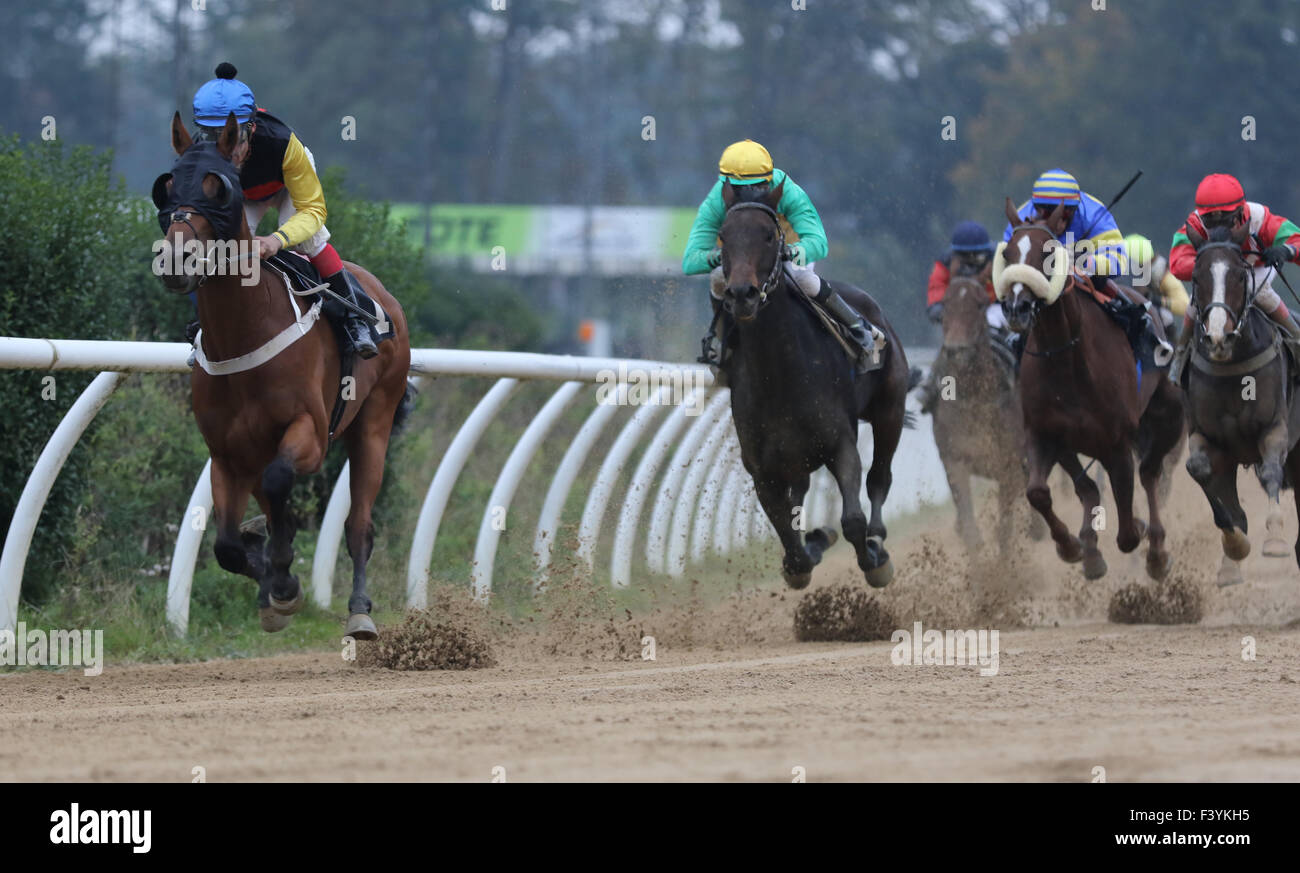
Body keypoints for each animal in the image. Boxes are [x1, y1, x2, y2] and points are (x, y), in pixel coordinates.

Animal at [154, 112, 413, 636]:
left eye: (217, 188)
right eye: (168, 186)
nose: (175, 260)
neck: (243, 333)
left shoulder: (309, 434)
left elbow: (279, 487)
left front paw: (283, 580)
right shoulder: (228, 454)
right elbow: (227, 545)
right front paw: (271, 582)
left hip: (374, 421)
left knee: (359, 524)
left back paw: (358, 610)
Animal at [717, 179, 909, 587]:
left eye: (769, 235)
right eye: (723, 236)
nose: (741, 294)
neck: (779, 375)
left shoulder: (841, 443)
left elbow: (852, 519)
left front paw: (873, 559)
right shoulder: (762, 469)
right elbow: (791, 541)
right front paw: (811, 547)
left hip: (891, 409)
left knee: (879, 478)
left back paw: (878, 539)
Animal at [993, 197, 1190, 579]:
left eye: (1048, 253)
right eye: (1008, 253)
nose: (1016, 307)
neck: (1065, 358)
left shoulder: (1117, 441)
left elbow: (1128, 530)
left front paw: (1137, 532)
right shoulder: (1043, 433)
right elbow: (1040, 492)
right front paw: (1072, 546)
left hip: (1169, 416)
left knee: (1150, 474)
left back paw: (1156, 551)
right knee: (1091, 487)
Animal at [1180, 222, 1300, 582]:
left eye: (1238, 275)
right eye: (1196, 278)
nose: (1218, 337)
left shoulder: (1275, 428)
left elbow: (1271, 470)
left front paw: (1274, 539)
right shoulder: (1209, 439)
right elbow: (1199, 470)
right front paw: (1235, 546)